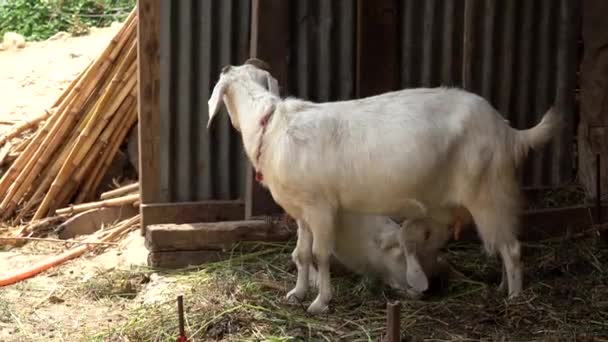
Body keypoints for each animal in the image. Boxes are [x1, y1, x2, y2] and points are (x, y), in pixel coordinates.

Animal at [208, 58, 560, 312]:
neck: (272, 127)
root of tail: (509, 131)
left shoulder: (321, 207)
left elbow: (321, 254)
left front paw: (320, 303)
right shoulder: (301, 211)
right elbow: (302, 253)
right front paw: (296, 293)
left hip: (488, 191)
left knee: (511, 247)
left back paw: (515, 298)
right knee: (504, 245)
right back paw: (502, 288)